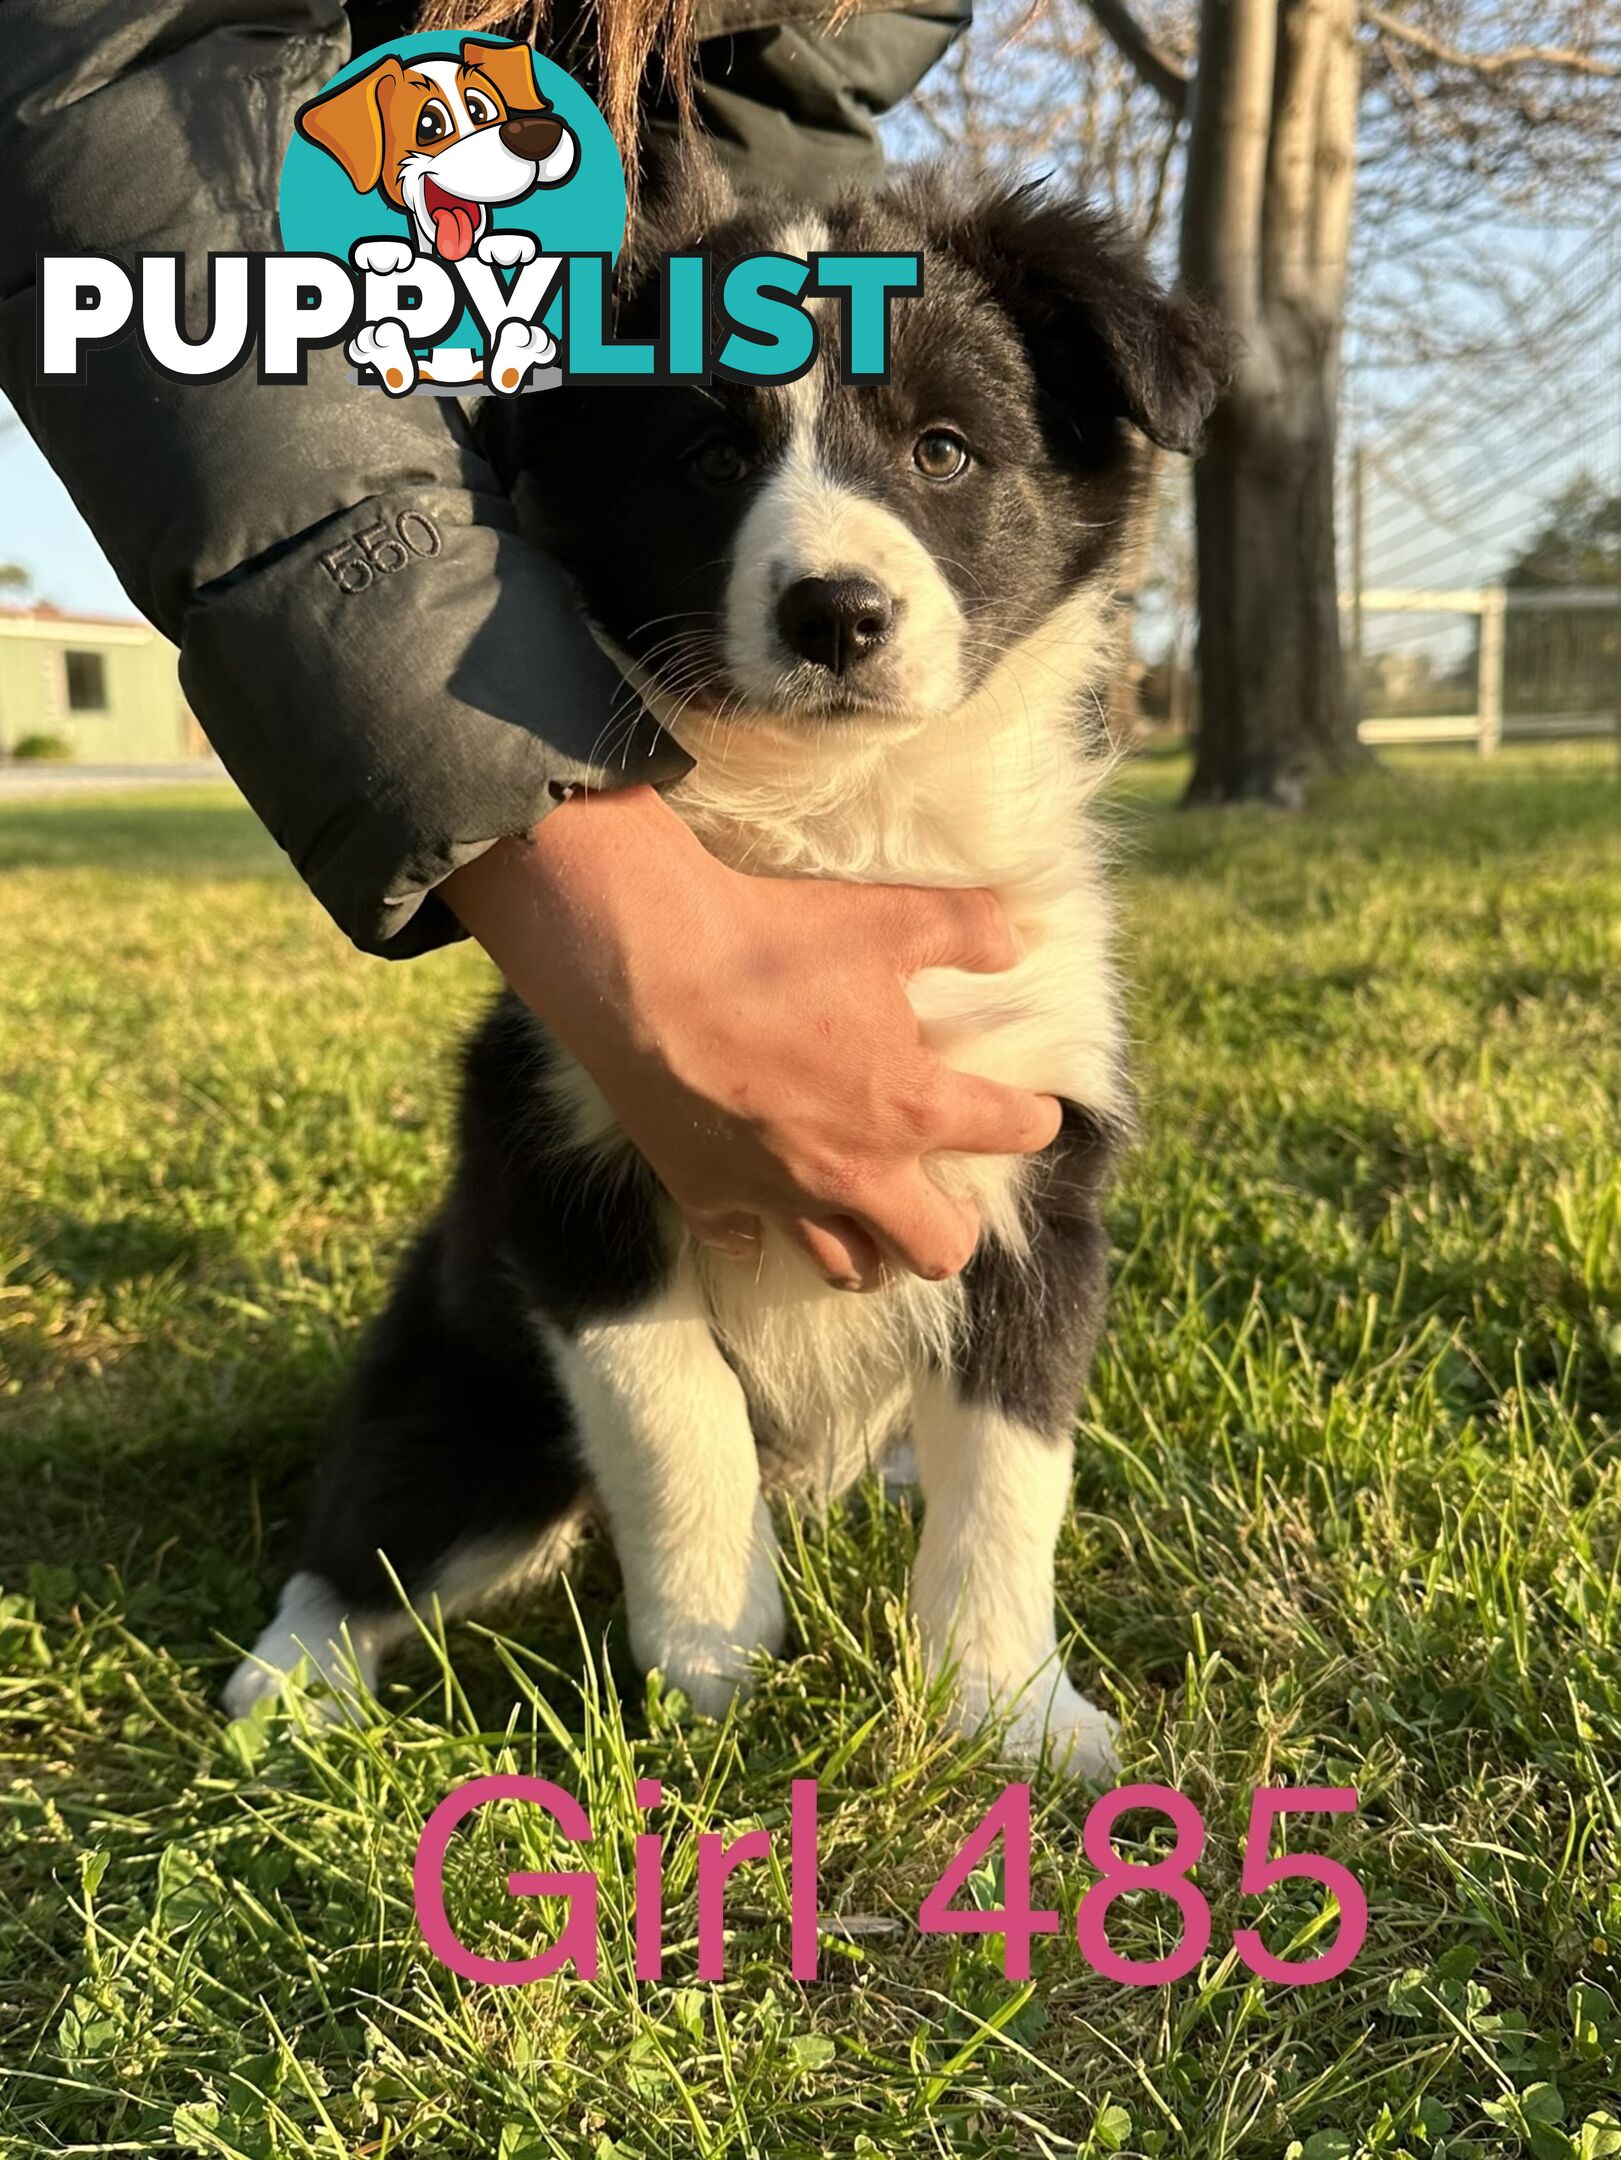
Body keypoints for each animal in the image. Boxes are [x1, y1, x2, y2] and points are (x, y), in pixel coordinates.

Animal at [222, 156, 1227, 1771]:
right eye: (704, 459)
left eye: (943, 450)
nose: (836, 614)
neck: (839, 820)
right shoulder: (566, 1165)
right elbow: (672, 1408)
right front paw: (713, 1661)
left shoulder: (1039, 1175)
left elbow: (1009, 1474)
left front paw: (1006, 1708)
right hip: (473, 1413)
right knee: (367, 1536)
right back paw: (293, 1693)